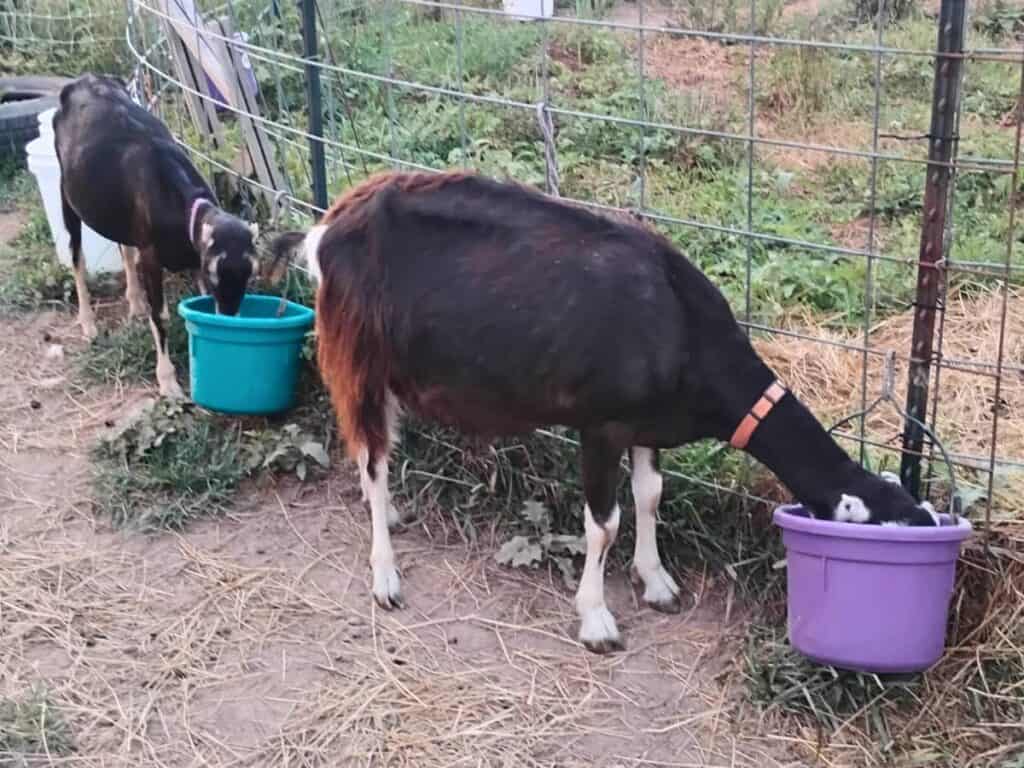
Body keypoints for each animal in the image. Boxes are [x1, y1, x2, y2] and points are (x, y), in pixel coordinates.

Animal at [53, 73, 259, 397]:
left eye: (250, 274)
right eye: (215, 272)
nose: (228, 314)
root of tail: (84, 79)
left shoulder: (190, 256)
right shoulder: (153, 256)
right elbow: (160, 315)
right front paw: (168, 382)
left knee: (124, 248)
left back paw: (135, 303)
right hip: (67, 195)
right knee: (77, 257)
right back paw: (88, 323)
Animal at [273, 170, 940, 654]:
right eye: (888, 531)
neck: (680, 328)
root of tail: (327, 227)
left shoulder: (649, 424)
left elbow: (650, 495)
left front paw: (657, 582)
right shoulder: (600, 425)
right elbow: (604, 522)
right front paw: (596, 619)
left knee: (374, 452)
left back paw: (387, 518)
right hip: (360, 356)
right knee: (374, 455)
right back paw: (385, 576)